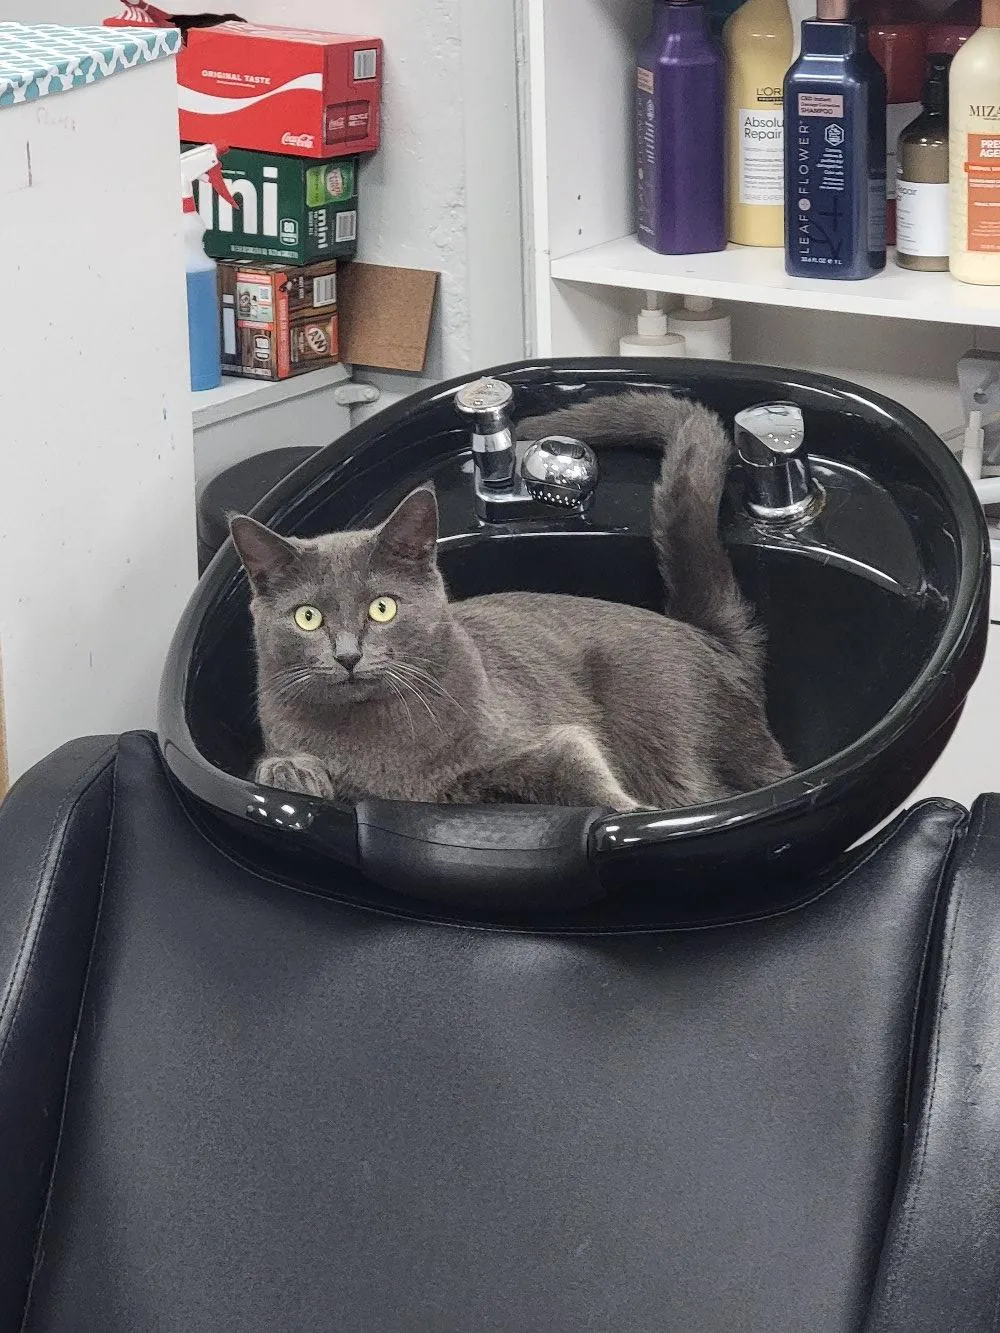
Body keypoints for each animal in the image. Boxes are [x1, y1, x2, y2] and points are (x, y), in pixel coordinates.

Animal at [230, 389, 794, 810]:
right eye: (308, 617)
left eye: (382, 607)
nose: (347, 656)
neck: (380, 748)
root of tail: (706, 635)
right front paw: (294, 772)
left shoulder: (542, 745)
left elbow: (578, 772)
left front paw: (632, 811)